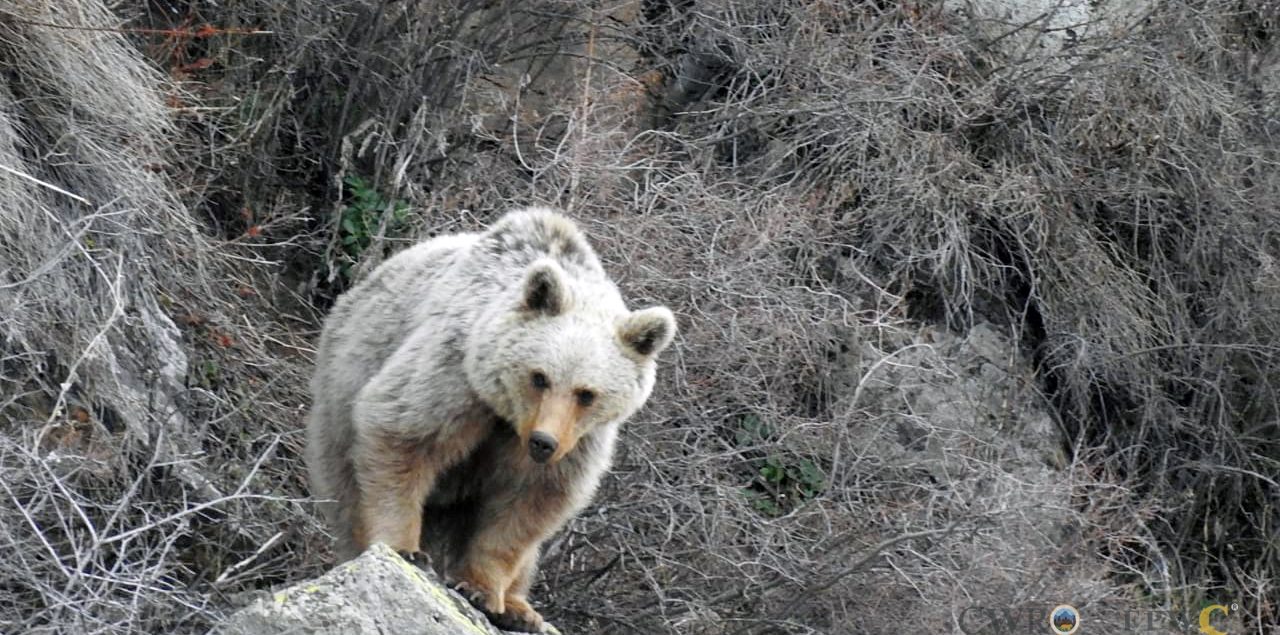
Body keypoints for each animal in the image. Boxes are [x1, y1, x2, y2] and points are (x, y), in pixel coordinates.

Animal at [305, 206, 676, 632]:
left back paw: (522, 608)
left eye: (586, 393)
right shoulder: (456, 377)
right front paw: (405, 549)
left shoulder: (578, 443)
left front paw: (483, 591)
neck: (508, 416)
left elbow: (526, 508)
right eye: (540, 377)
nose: (543, 442)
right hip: (338, 398)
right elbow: (402, 434)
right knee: (347, 491)